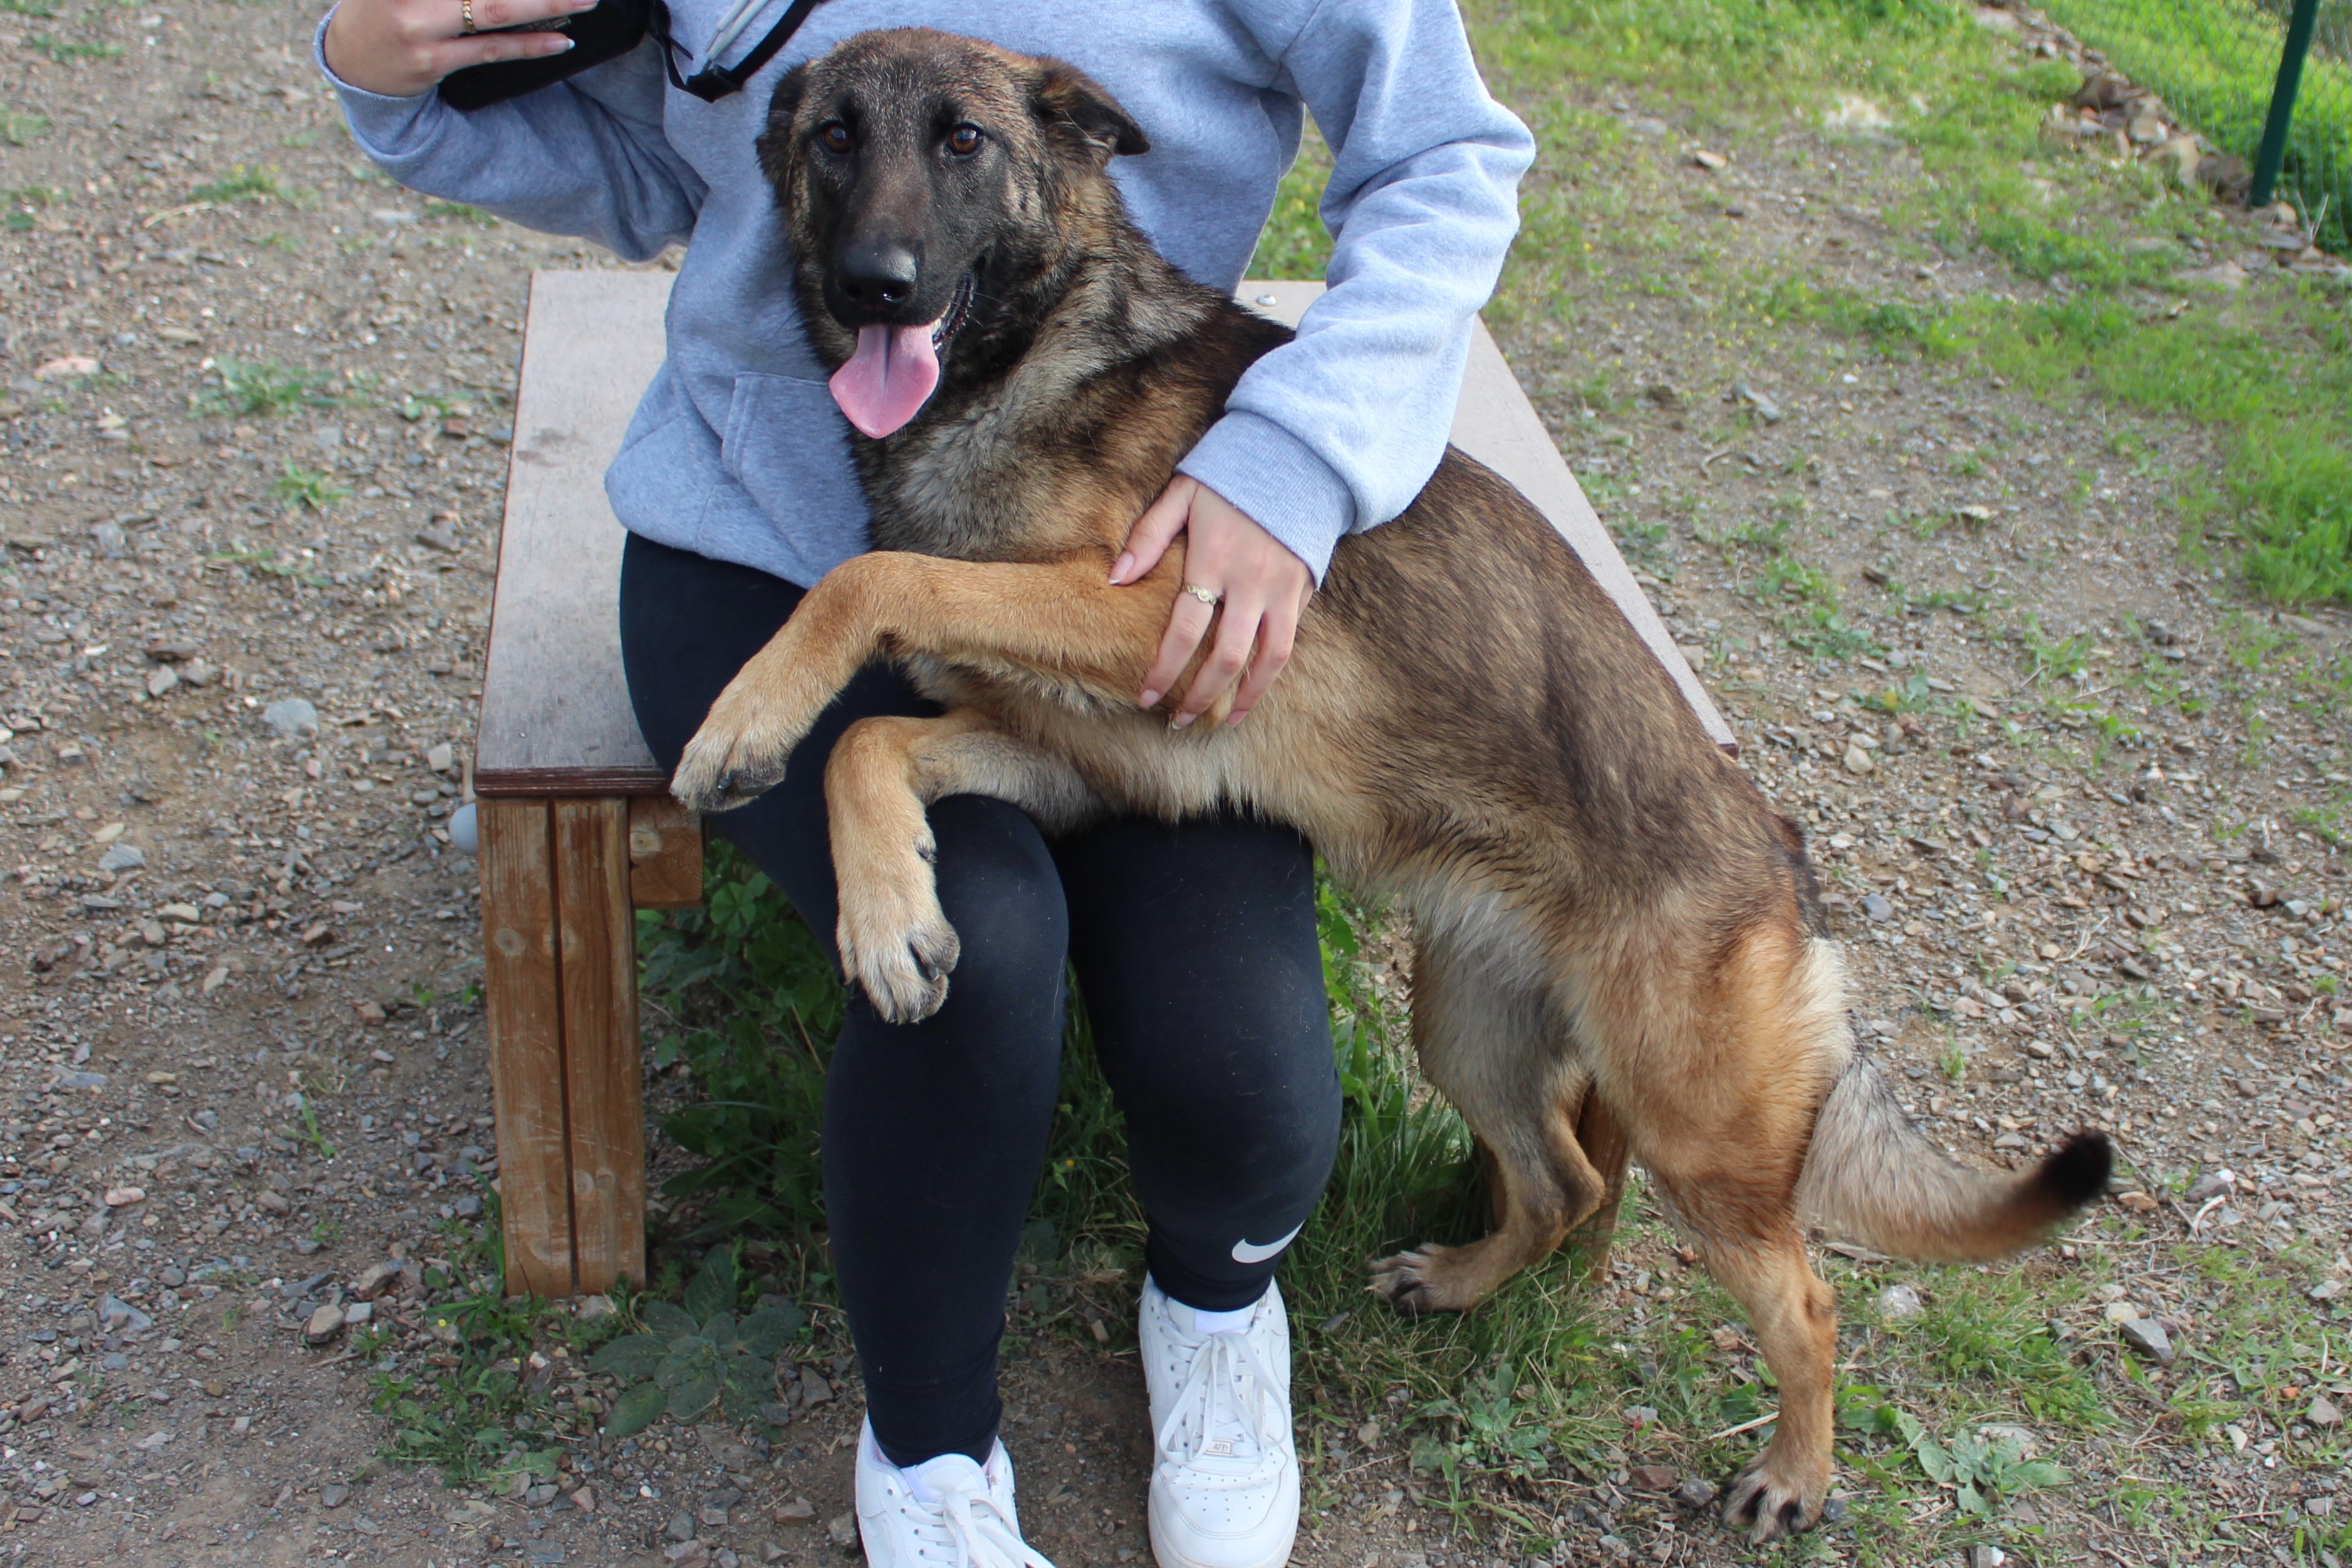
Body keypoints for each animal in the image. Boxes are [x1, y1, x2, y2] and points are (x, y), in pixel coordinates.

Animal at [672, 28, 2126, 1542]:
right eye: (834, 138)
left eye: (959, 140)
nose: (872, 283)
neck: (1034, 358)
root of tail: (1781, 860)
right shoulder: (1065, 753)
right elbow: (867, 736)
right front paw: (885, 904)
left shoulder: (1142, 619)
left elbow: (871, 576)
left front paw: (743, 714)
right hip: (1468, 1032)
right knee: (1559, 1185)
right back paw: (1464, 1280)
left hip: (1695, 1139)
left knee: (1806, 1297)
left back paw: (1794, 1469)